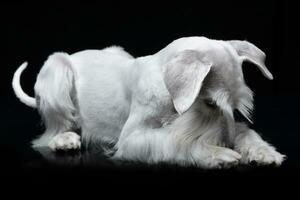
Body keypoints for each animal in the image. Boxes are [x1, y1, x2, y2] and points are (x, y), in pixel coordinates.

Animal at [12, 36, 286, 168]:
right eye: (210, 103)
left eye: (237, 106)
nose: (227, 142)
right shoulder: (132, 138)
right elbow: (176, 141)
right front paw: (219, 153)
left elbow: (244, 132)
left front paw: (263, 152)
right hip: (56, 68)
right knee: (52, 131)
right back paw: (64, 139)